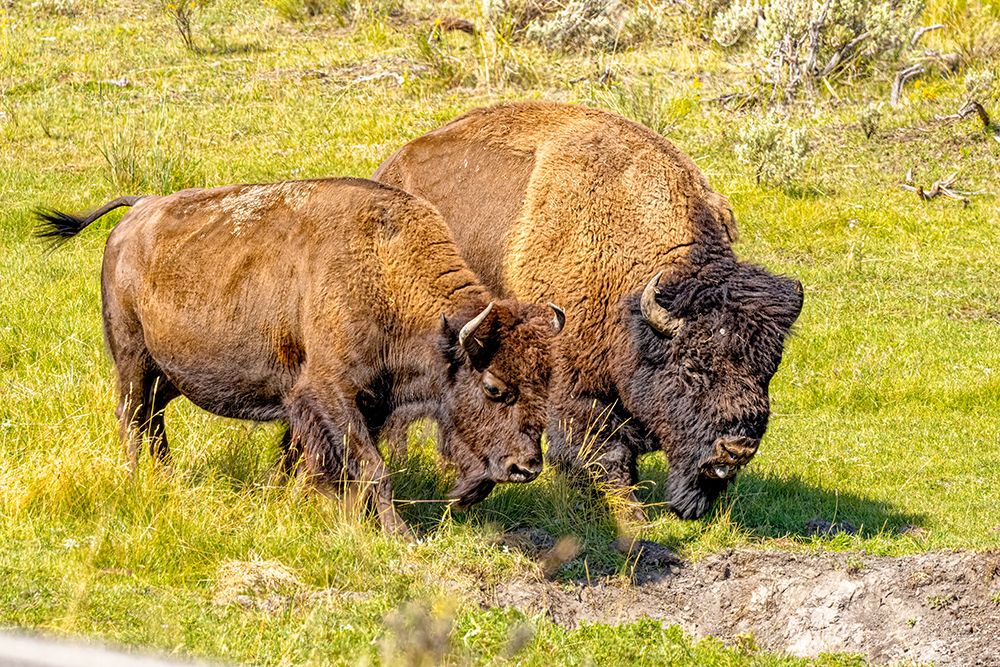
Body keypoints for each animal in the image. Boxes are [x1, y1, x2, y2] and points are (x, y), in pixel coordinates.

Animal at [36, 178, 565, 536]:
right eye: (494, 387)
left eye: (545, 384)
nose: (526, 468)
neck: (384, 270)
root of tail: (138, 209)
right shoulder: (330, 393)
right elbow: (372, 468)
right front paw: (396, 533)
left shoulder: (356, 402)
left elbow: (326, 462)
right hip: (132, 357)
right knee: (131, 415)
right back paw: (137, 480)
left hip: (170, 374)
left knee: (153, 417)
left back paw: (166, 477)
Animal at [374, 102, 803, 522]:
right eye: (693, 369)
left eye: (769, 370)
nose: (738, 448)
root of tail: (390, 167)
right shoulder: (576, 385)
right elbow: (602, 452)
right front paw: (630, 516)